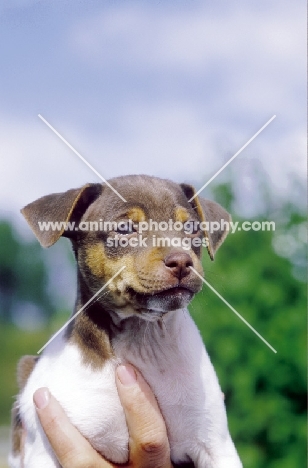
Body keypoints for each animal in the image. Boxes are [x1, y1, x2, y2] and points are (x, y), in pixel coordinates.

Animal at [8, 174, 242, 466]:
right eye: (124, 229)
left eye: (191, 228)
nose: (181, 261)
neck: (143, 336)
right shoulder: (44, 451)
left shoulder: (216, 445)